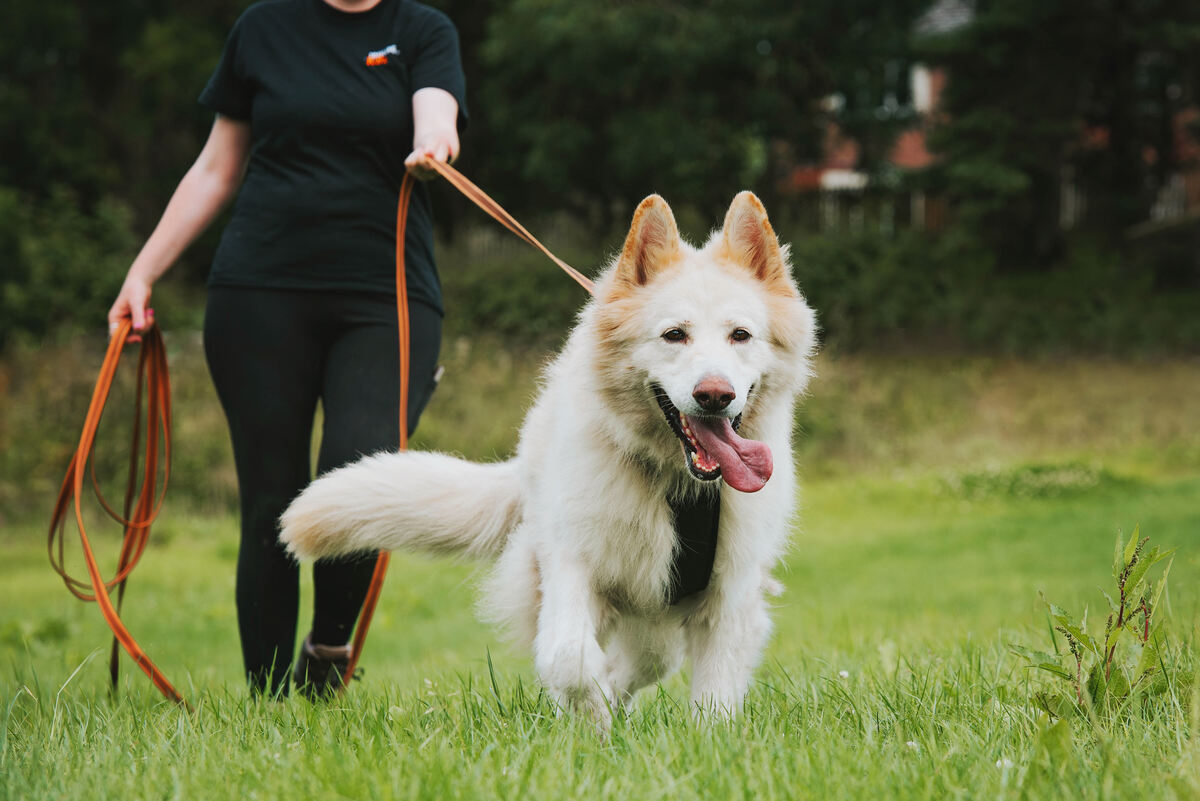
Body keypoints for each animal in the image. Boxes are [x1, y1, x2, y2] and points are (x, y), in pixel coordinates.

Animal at [280, 190, 816, 729]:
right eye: (674, 335)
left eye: (740, 335)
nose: (715, 396)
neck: (676, 485)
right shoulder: (572, 562)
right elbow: (568, 658)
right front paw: (592, 721)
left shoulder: (731, 594)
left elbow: (715, 699)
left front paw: (702, 739)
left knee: (646, 658)